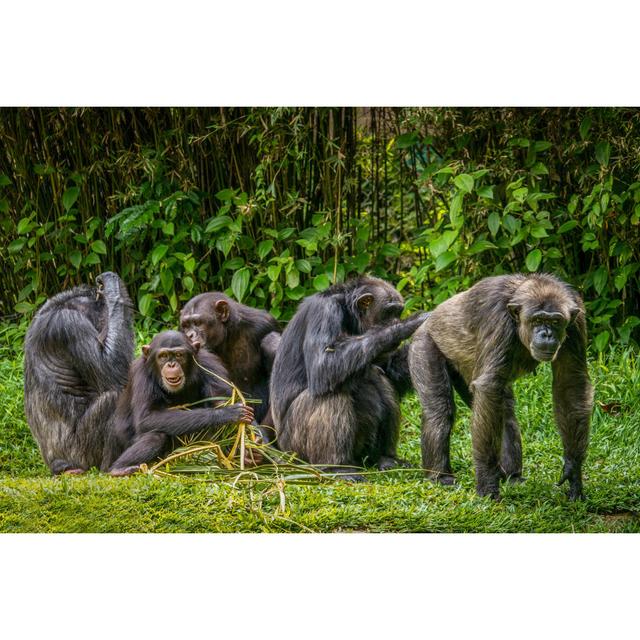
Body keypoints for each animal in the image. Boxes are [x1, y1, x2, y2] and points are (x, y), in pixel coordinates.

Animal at [24, 270, 135, 476]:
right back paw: (114, 468)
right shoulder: (70, 324)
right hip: (83, 454)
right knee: (115, 397)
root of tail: (58, 465)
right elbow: (111, 369)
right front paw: (112, 288)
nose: (103, 332)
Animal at [106, 330, 254, 476]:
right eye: (163, 356)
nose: (171, 364)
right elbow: (147, 417)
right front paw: (225, 413)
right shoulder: (141, 374)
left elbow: (220, 399)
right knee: (156, 436)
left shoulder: (210, 364)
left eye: (179, 355)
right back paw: (119, 469)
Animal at [268, 276, 428, 480]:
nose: (397, 319)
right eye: (389, 312)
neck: (348, 314)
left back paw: (385, 458)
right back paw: (337, 468)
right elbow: (323, 364)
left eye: (397, 312)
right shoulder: (325, 311)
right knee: (331, 394)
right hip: (295, 451)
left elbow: (391, 369)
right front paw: (406, 325)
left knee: (380, 379)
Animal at [410, 272, 596, 502]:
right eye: (537, 320)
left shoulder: (576, 322)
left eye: (555, 321)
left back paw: (512, 476)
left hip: (465, 372)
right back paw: (439, 476)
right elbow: (489, 386)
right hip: (423, 346)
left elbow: (570, 383)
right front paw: (487, 484)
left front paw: (573, 470)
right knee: (439, 411)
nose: (546, 334)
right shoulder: (497, 318)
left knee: (503, 411)